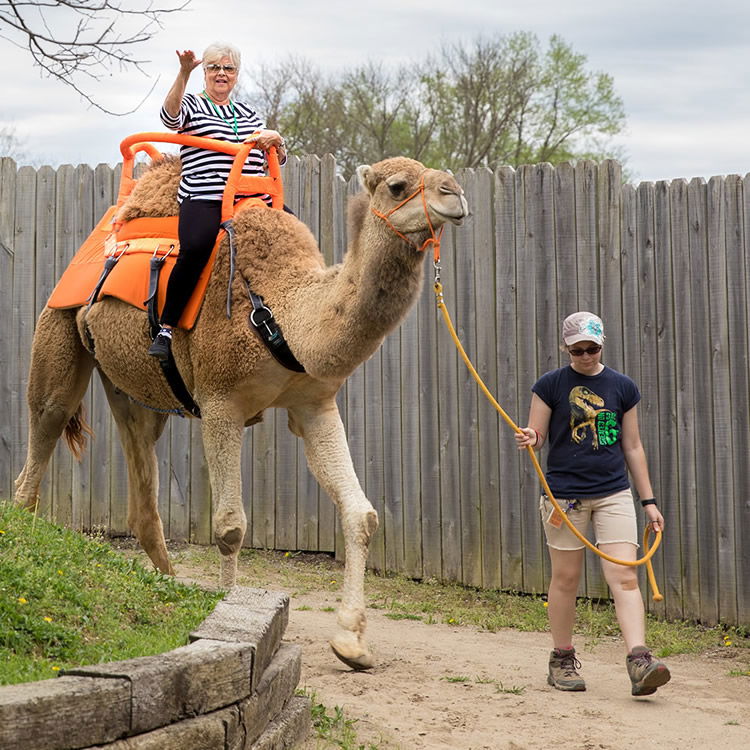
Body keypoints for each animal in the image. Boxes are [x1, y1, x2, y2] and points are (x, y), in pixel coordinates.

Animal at [13, 153, 470, 668]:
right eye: (397, 186)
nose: (454, 194)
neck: (283, 312)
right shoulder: (220, 404)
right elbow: (231, 527)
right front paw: (229, 619)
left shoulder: (314, 404)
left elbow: (362, 515)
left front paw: (352, 642)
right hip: (58, 330)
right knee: (43, 432)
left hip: (134, 392)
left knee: (142, 491)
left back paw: (170, 587)